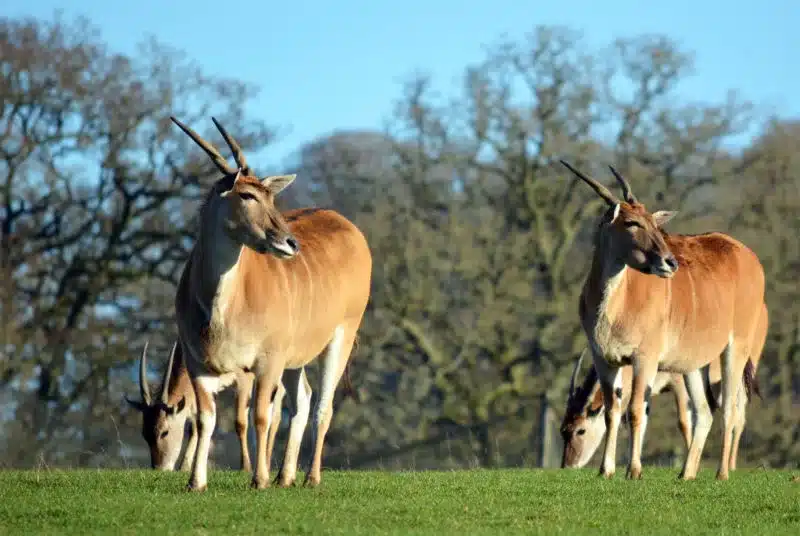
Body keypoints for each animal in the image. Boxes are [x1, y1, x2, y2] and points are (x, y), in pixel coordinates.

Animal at [125, 342, 288, 472]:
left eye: (164, 432)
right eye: (144, 434)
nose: (159, 468)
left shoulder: (244, 379)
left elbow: (240, 423)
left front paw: (245, 467)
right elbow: (196, 427)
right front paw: (184, 467)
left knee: (275, 416)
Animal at [172, 116, 372, 490]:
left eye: (269, 196)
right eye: (247, 194)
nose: (290, 243)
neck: (220, 310)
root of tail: (352, 230)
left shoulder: (267, 362)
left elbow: (261, 416)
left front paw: (258, 479)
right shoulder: (197, 364)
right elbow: (206, 419)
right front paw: (196, 482)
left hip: (340, 337)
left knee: (322, 407)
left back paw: (310, 477)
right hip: (295, 359)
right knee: (303, 400)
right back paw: (285, 476)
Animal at [560, 160, 764, 482]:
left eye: (654, 224)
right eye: (632, 223)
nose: (670, 262)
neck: (616, 306)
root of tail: (749, 257)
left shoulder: (645, 359)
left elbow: (634, 411)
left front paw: (634, 470)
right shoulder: (606, 360)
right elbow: (613, 411)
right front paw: (606, 470)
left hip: (735, 351)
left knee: (731, 410)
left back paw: (722, 473)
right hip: (694, 365)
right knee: (705, 411)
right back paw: (686, 474)